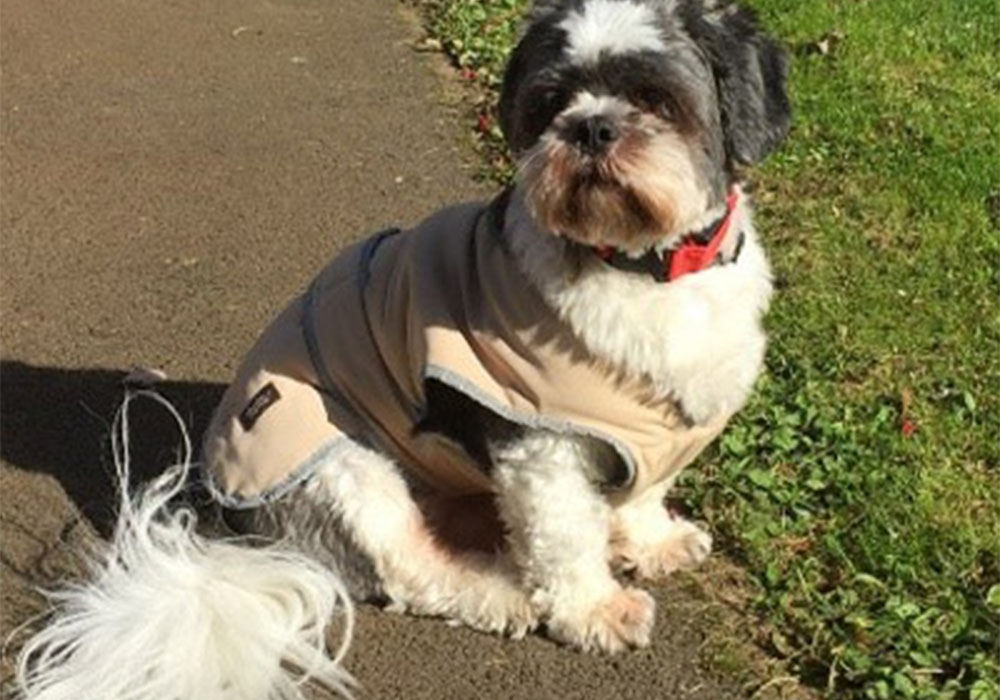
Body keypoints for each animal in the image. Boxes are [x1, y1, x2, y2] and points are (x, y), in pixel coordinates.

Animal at [11, 1, 784, 700]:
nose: (590, 126)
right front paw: (594, 608)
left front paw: (651, 539)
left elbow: (647, 487)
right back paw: (502, 591)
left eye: (655, 99)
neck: (639, 265)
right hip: (346, 468)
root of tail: (241, 526)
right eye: (550, 103)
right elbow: (564, 538)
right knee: (409, 569)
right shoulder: (541, 448)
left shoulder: (654, 424)